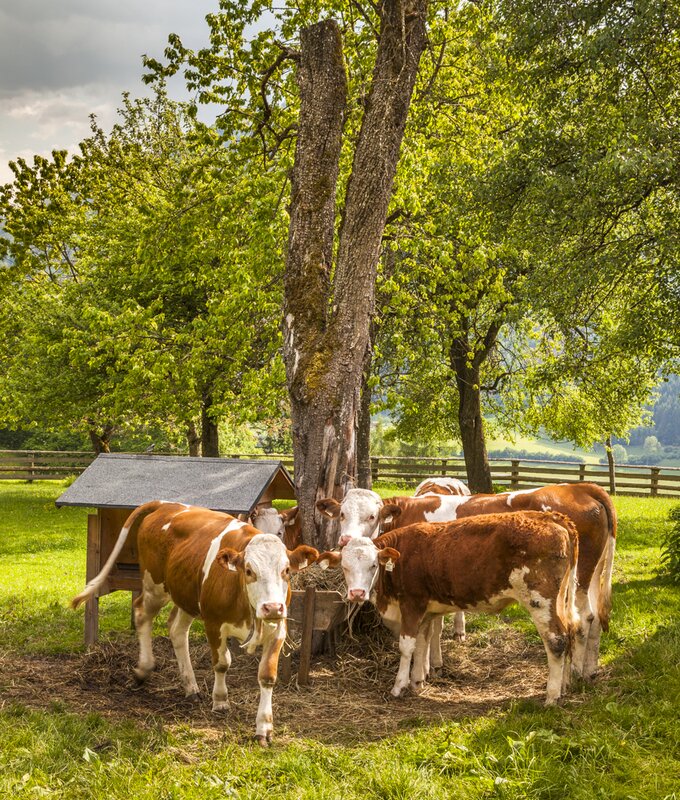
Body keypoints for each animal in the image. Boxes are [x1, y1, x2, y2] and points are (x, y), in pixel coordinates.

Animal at [73, 500, 318, 744]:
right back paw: (144, 668)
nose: (272, 607)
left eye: (286, 570)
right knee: (142, 613)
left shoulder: (278, 628)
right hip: (155, 586)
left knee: (177, 630)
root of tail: (165, 504)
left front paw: (264, 727)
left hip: (186, 597)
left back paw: (191, 686)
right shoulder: (213, 622)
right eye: (249, 570)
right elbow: (222, 663)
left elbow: (267, 675)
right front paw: (220, 700)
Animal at [318, 512, 580, 708]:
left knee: (557, 640)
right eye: (344, 566)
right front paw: (417, 681)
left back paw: (552, 696)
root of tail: (553, 517)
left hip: (540, 600)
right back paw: (565, 687)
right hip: (562, 599)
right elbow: (422, 643)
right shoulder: (425, 612)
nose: (357, 593)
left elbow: (407, 646)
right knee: (571, 632)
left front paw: (399, 685)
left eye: (373, 565)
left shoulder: (412, 604)